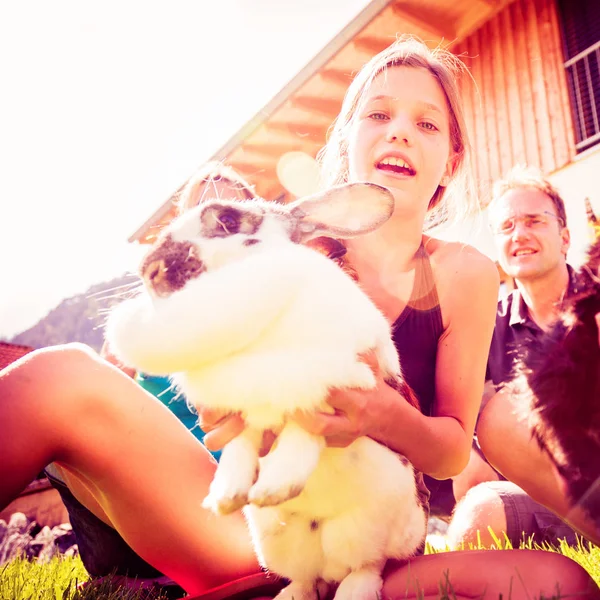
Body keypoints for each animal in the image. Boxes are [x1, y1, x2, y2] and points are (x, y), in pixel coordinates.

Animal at [104, 183, 426, 600]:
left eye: (227, 220)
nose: (151, 270)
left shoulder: (331, 380)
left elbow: (305, 431)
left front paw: (275, 485)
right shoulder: (241, 410)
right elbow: (240, 444)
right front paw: (227, 495)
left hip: (381, 531)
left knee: (368, 567)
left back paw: (353, 589)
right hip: (277, 544)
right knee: (306, 578)